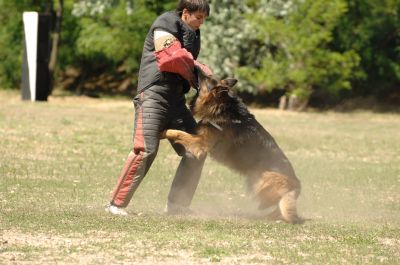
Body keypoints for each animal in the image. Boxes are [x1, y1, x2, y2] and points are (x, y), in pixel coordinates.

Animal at [161, 68, 302, 223]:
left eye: (205, 78)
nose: (195, 68)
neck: (221, 106)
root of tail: (296, 187)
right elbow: (183, 132)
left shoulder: (200, 144)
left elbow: (178, 133)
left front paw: (162, 132)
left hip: (262, 179)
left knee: (274, 203)